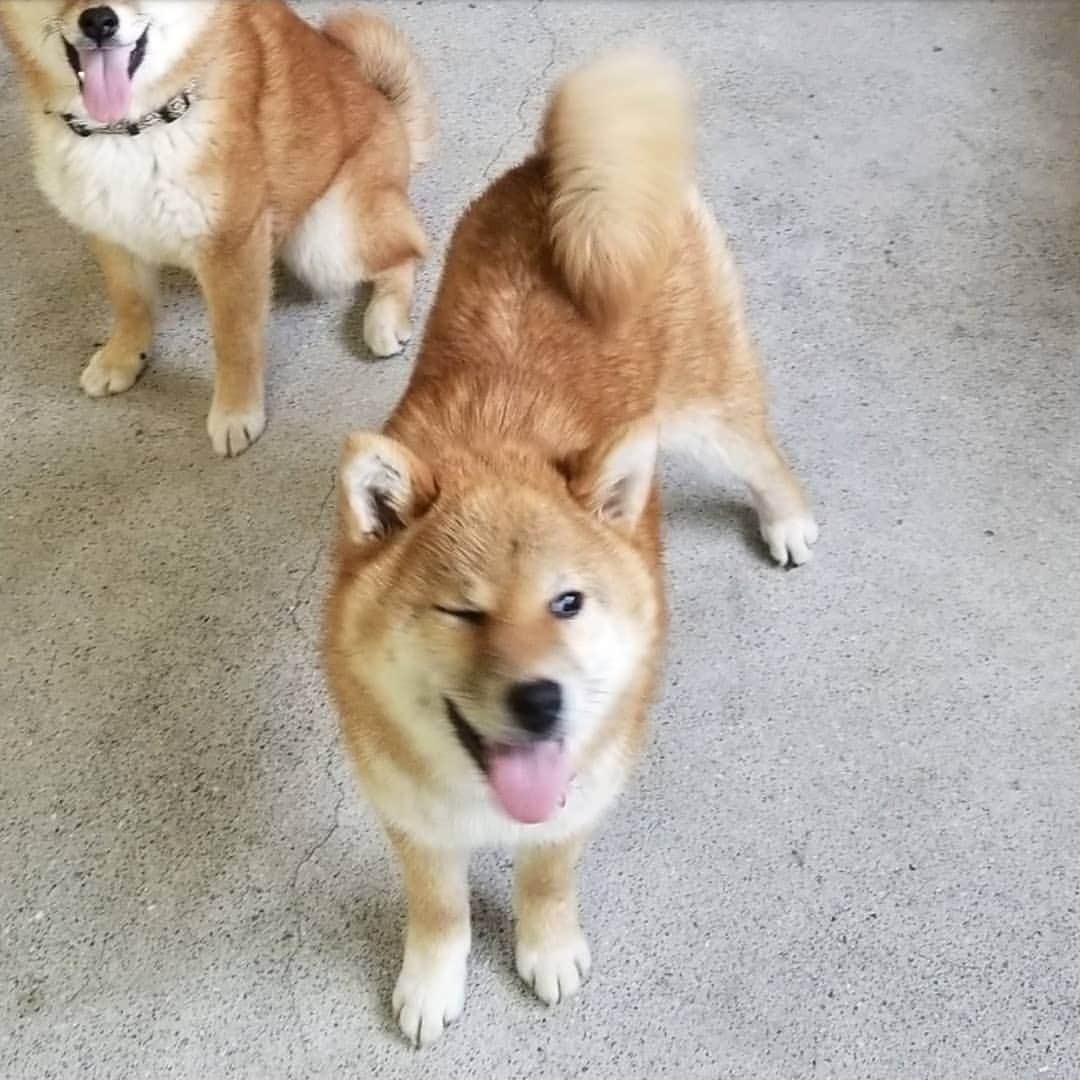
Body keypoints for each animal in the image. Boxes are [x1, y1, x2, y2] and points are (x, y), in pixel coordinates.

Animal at [1, 0, 429, 455]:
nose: (99, 20)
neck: (129, 128)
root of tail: (394, 118)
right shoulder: (110, 233)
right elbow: (131, 303)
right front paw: (123, 355)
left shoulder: (231, 245)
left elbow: (234, 340)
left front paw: (236, 413)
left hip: (327, 240)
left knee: (407, 252)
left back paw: (384, 318)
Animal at [324, 50, 820, 1045]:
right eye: (461, 611)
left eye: (568, 602)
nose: (542, 699)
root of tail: (562, 168)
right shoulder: (409, 816)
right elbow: (439, 908)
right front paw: (432, 980)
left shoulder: (578, 798)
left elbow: (547, 879)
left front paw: (546, 949)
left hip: (712, 409)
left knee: (765, 456)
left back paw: (786, 520)